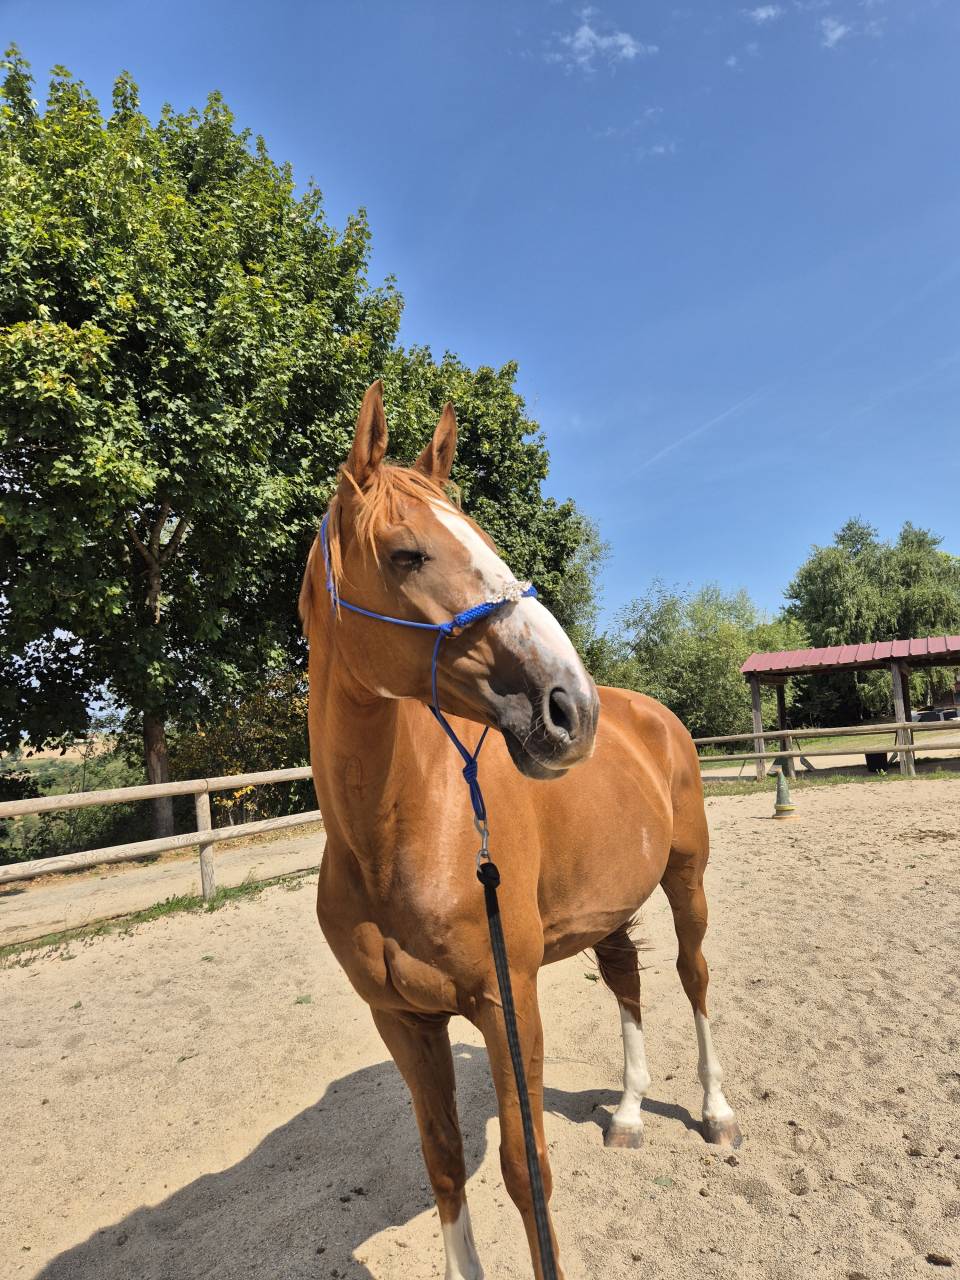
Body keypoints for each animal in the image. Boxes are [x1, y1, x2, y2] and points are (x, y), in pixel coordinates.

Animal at [299, 382, 742, 1280]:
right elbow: (442, 1163)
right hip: (611, 905)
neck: (396, 836)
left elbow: (523, 1167)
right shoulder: (403, 1022)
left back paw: (714, 1110)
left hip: (686, 881)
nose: (571, 707)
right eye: (407, 554)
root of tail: (651, 715)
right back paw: (630, 1114)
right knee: (628, 983)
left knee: (694, 976)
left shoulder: (508, 1001)